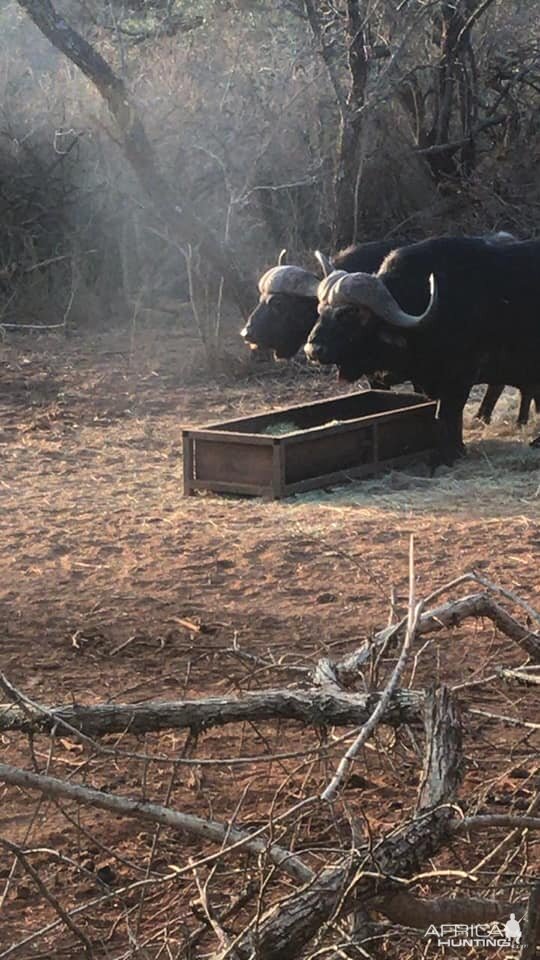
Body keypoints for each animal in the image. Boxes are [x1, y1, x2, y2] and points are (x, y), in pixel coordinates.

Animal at [306, 232, 540, 458]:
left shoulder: (460, 377)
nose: (313, 350)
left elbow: (448, 414)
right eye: (321, 309)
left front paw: (450, 453)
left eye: (349, 312)